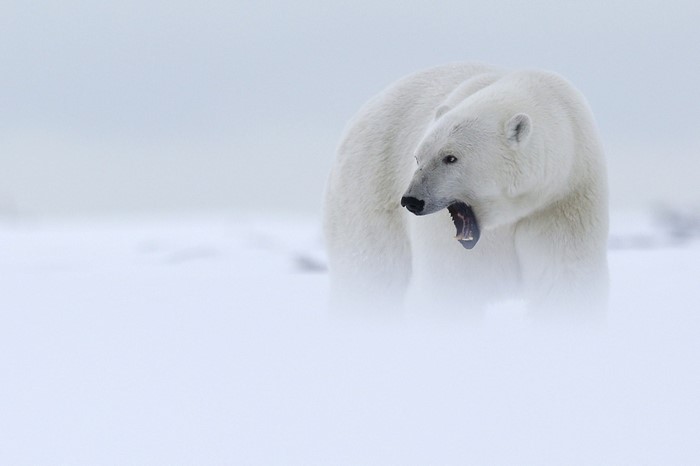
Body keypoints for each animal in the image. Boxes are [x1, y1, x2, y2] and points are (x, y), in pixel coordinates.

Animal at [323, 63, 609, 319]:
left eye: (451, 157)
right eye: (418, 157)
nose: (412, 200)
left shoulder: (564, 201)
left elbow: (563, 278)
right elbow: (453, 284)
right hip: (367, 189)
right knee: (370, 273)